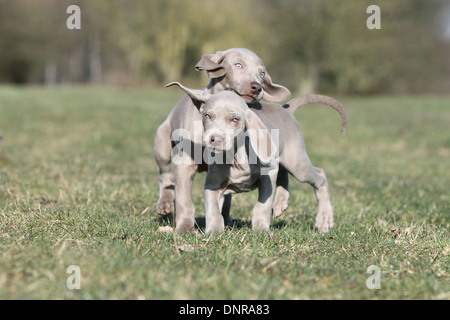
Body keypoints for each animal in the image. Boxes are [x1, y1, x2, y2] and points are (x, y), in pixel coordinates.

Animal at [167, 82, 346, 232]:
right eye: (207, 116)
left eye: (235, 120)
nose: (214, 139)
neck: (236, 158)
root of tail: (286, 111)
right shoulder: (213, 184)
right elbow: (213, 209)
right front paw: (214, 231)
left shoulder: (268, 173)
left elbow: (262, 205)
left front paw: (260, 230)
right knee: (284, 172)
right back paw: (281, 202)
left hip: (296, 161)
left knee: (320, 175)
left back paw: (324, 219)